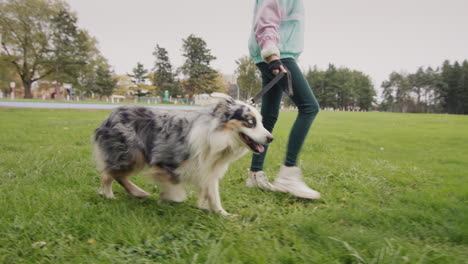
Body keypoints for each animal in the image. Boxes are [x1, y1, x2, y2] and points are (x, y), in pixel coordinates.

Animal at [93, 94, 272, 216]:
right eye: (250, 122)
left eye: (261, 122)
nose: (271, 138)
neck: (218, 137)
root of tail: (110, 115)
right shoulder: (166, 162)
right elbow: (178, 192)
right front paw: (168, 196)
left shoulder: (209, 169)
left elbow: (214, 195)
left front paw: (223, 215)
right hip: (131, 154)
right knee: (110, 174)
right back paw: (109, 194)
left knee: (117, 174)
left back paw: (136, 192)